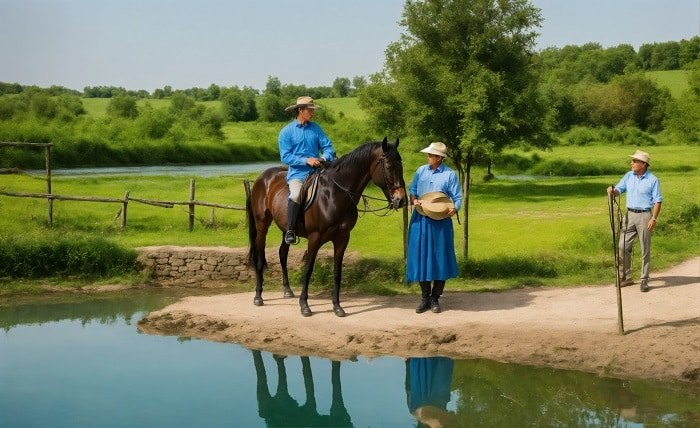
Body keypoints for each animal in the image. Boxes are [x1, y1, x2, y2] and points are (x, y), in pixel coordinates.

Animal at [247, 135, 408, 316]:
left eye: (401, 165)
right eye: (389, 166)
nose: (401, 199)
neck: (335, 195)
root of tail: (262, 178)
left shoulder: (342, 238)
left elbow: (337, 272)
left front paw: (337, 306)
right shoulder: (314, 238)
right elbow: (308, 270)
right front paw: (304, 305)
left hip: (285, 229)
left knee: (282, 254)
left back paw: (287, 290)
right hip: (262, 225)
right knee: (259, 258)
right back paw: (258, 296)